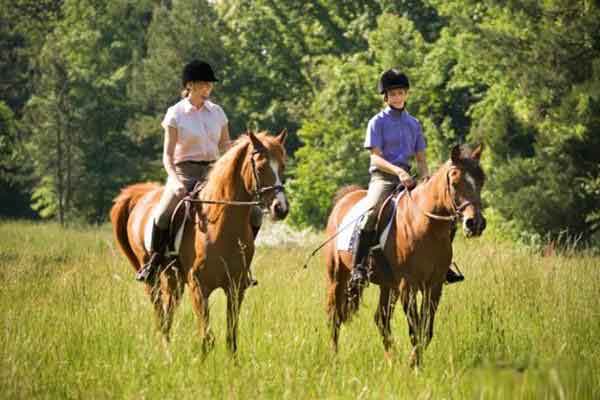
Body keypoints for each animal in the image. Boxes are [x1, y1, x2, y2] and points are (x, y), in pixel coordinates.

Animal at [113, 131, 292, 354]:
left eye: (282, 167)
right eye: (260, 167)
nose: (281, 208)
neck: (221, 227)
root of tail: (141, 195)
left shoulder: (235, 288)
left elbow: (231, 338)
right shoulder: (199, 288)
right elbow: (207, 338)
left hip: (174, 278)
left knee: (168, 314)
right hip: (152, 277)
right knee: (160, 315)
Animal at [326, 144, 486, 366]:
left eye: (481, 181)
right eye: (455, 183)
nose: (475, 223)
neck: (426, 225)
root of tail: (344, 199)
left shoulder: (433, 286)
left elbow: (426, 330)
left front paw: (413, 362)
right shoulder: (407, 285)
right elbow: (415, 330)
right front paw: (413, 365)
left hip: (388, 285)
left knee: (381, 319)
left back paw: (391, 360)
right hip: (337, 276)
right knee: (334, 317)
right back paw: (334, 358)